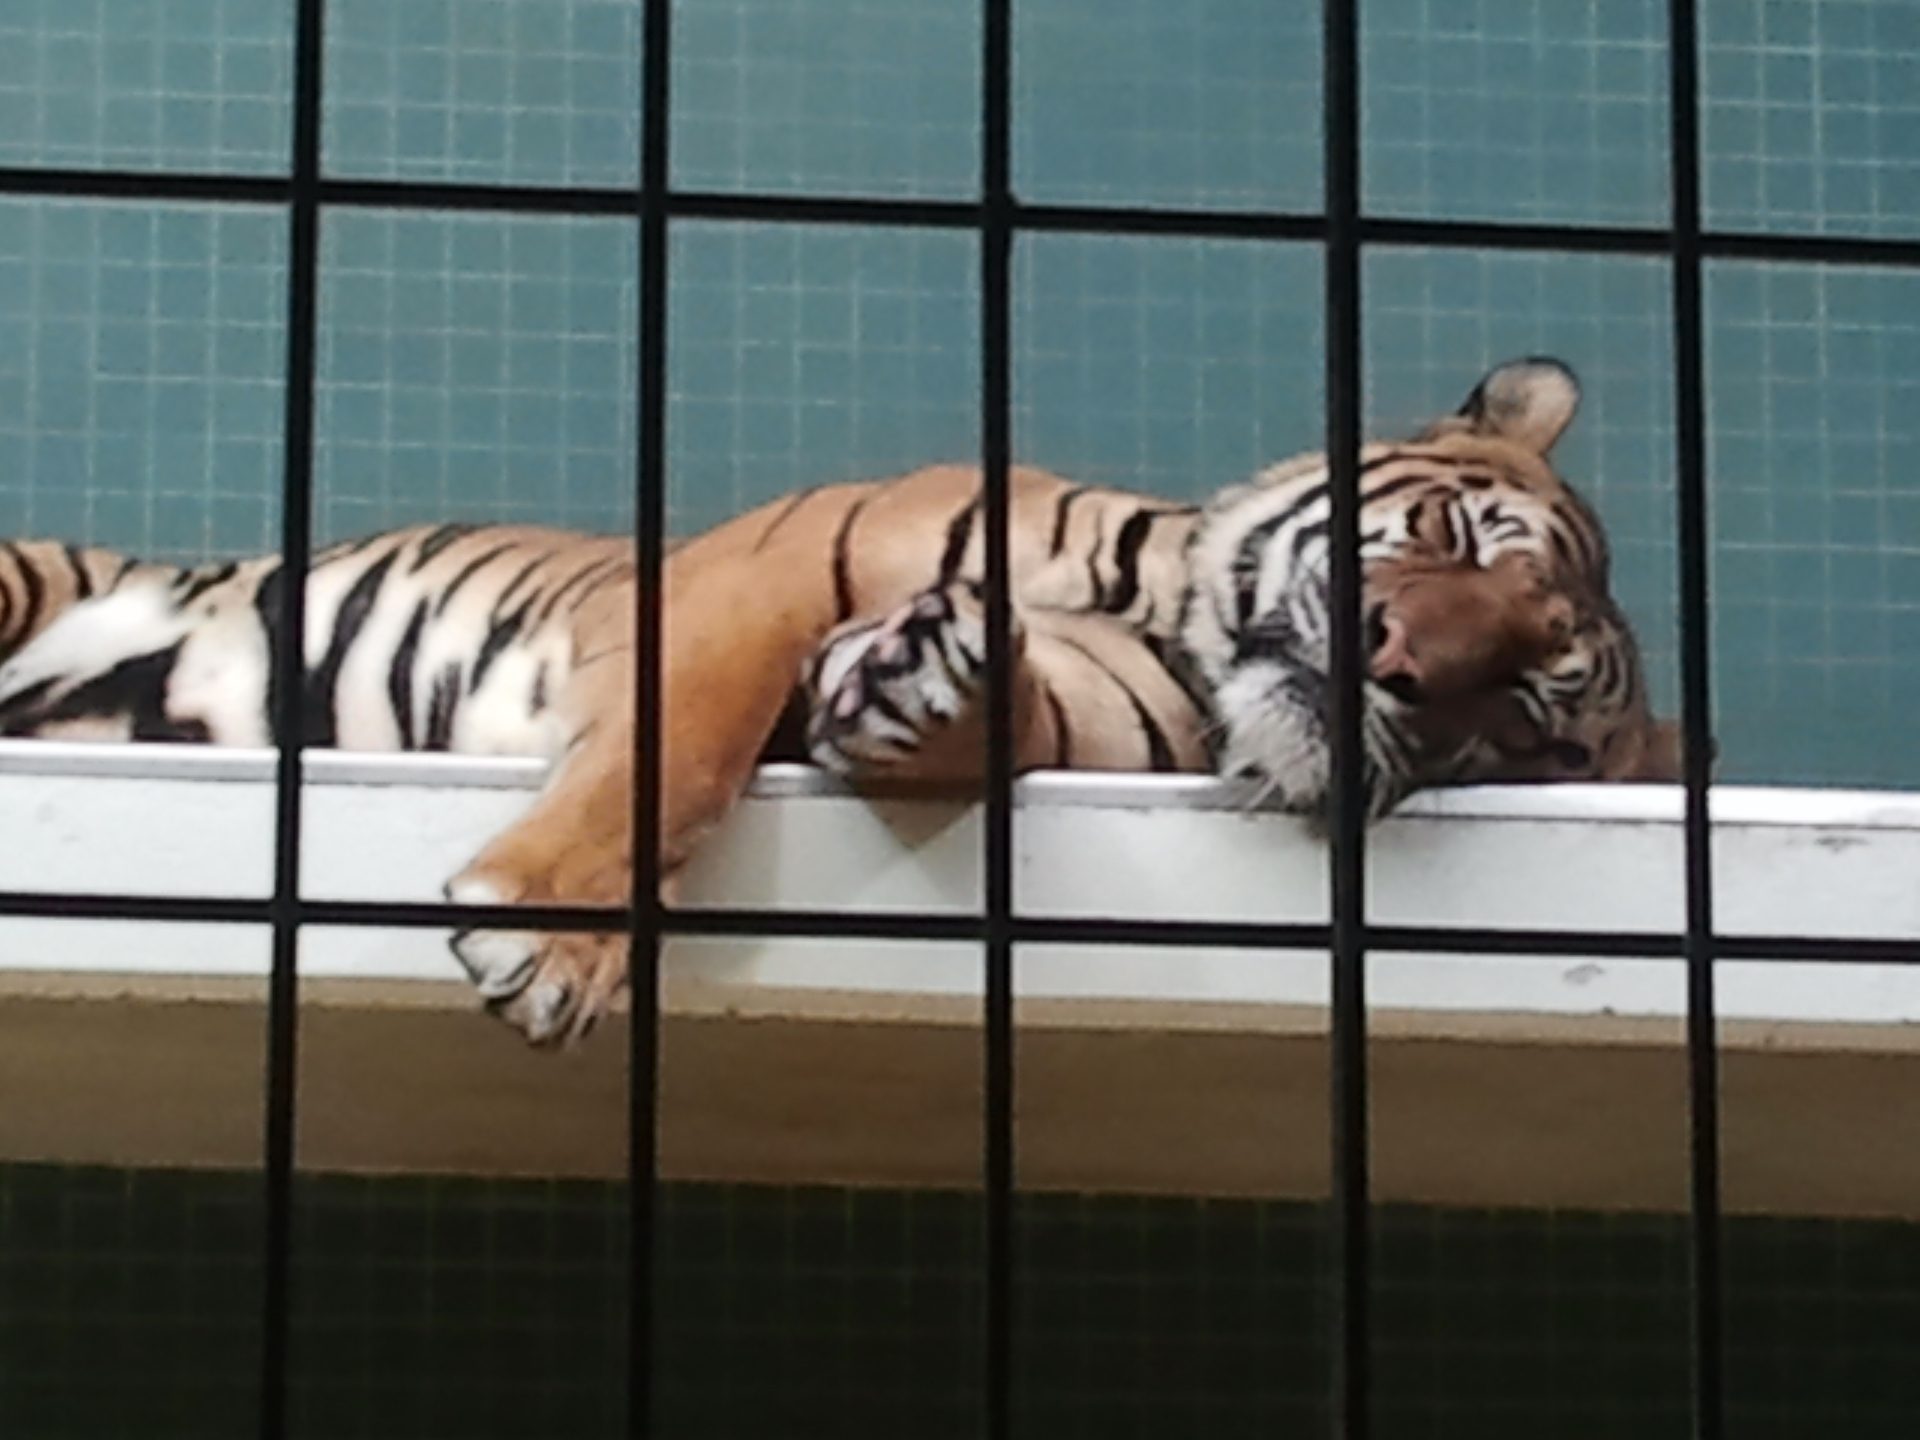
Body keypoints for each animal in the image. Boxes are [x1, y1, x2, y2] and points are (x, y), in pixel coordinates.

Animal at [0, 356, 1680, 1047]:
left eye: (1521, 709)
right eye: (1452, 535)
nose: (1397, 662)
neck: (1178, 631)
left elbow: (990, 714)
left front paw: (929, 694)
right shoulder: (768, 567)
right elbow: (680, 746)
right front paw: (545, 936)